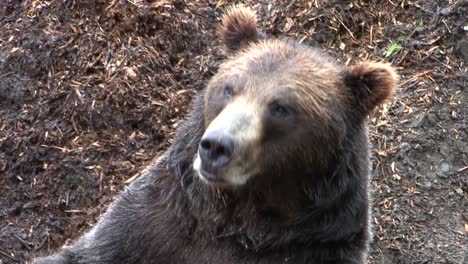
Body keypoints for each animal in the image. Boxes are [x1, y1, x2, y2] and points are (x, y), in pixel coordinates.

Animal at [33, 4, 398, 264]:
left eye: (281, 108)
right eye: (229, 88)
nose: (216, 146)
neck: (242, 220)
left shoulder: (315, 247)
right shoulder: (157, 221)